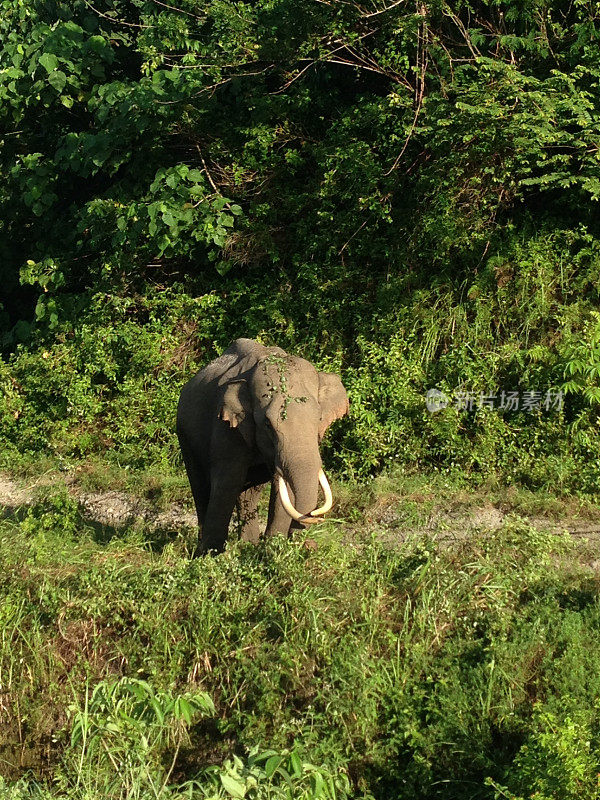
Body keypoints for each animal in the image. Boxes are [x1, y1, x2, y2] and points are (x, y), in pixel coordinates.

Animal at [176, 340, 350, 556]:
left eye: (319, 418)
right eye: (267, 424)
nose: (308, 544)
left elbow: (282, 486)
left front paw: (272, 547)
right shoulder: (226, 427)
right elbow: (227, 481)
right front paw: (212, 555)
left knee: (249, 493)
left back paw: (248, 545)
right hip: (184, 434)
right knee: (200, 486)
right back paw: (204, 550)